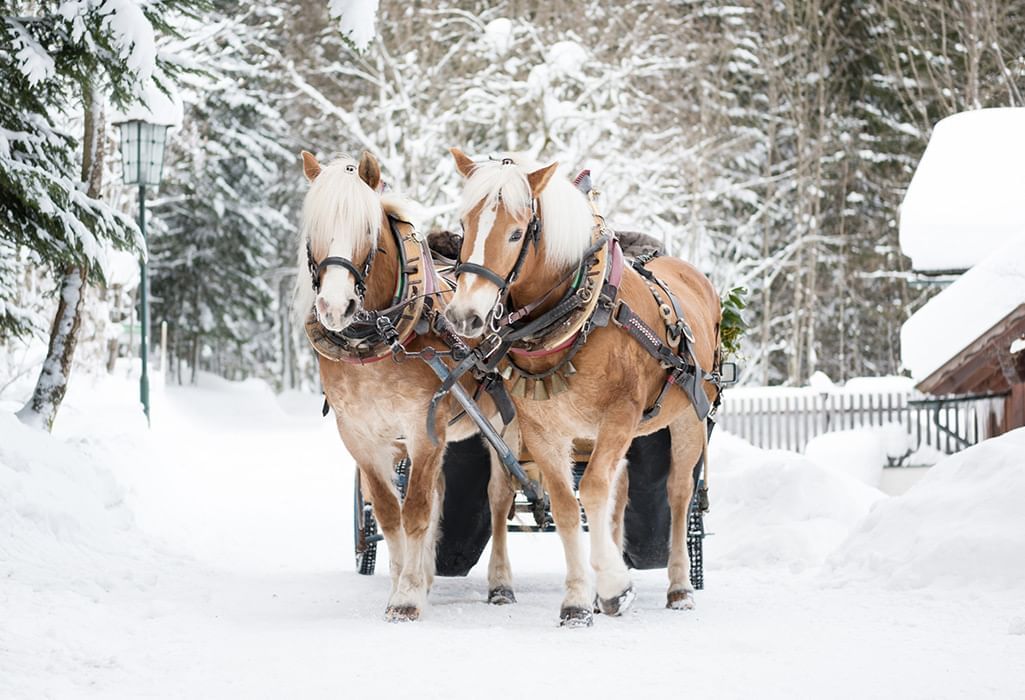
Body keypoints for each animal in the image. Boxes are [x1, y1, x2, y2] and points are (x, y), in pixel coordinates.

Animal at [297, 151, 520, 619]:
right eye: (314, 232)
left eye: (367, 231)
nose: (334, 306)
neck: (377, 339)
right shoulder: (360, 435)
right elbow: (389, 512)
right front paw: (405, 581)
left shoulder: (423, 427)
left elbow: (415, 510)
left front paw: (407, 597)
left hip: (503, 426)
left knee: (498, 498)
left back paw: (500, 583)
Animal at [442, 149, 721, 631]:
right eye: (464, 224)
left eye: (516, 232)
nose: (465, 316)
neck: (581, 315)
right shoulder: (544, 431)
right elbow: (568, 506)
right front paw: (577, 600)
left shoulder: (620, 416)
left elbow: (591, 491)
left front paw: (613, 585)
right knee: (614, 494)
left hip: (689, 418)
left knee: (678, 495)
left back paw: (680, 588)